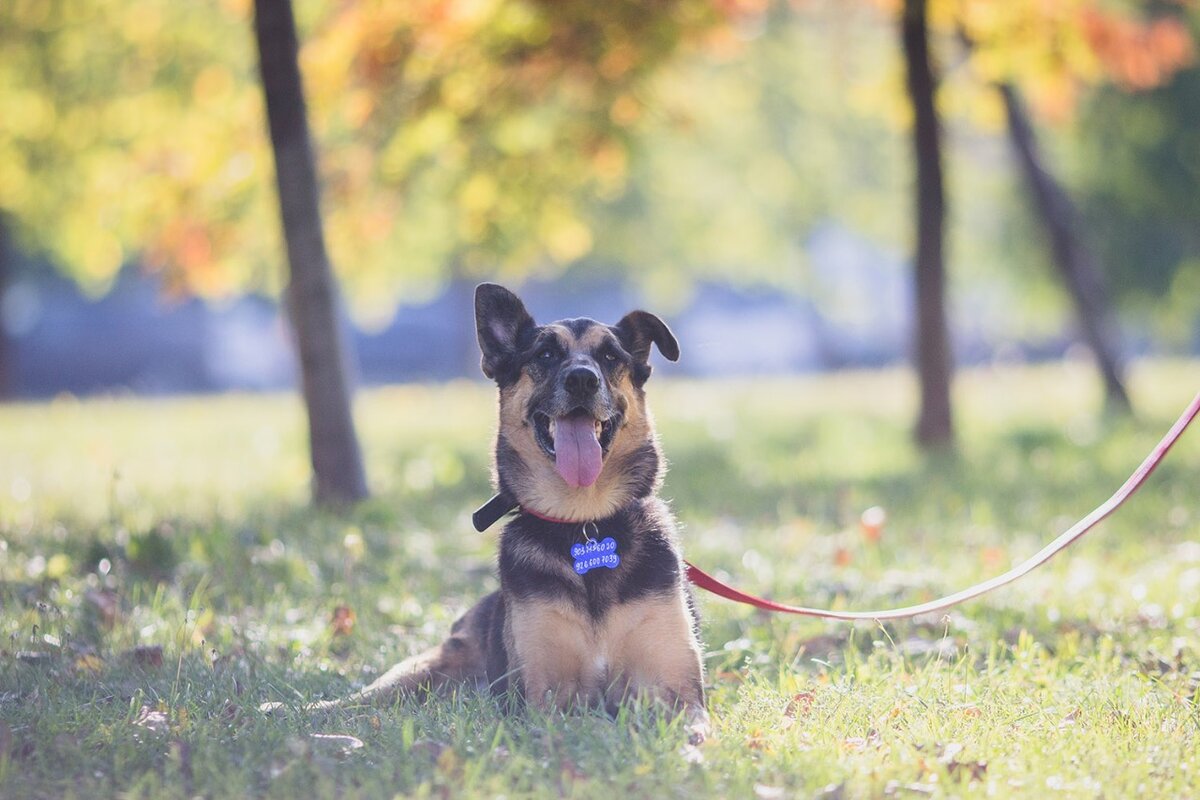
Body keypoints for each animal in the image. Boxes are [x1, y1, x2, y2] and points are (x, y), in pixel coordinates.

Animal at [262, 284, 705, 743]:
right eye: (545, 354)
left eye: (610, 356)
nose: (582, 379)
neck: (585, 523)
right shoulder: (542, 697)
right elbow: (573, 720)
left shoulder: (677, 691)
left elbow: (682, 723)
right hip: (421, 672)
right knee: (360, 700)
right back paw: (294, 712)